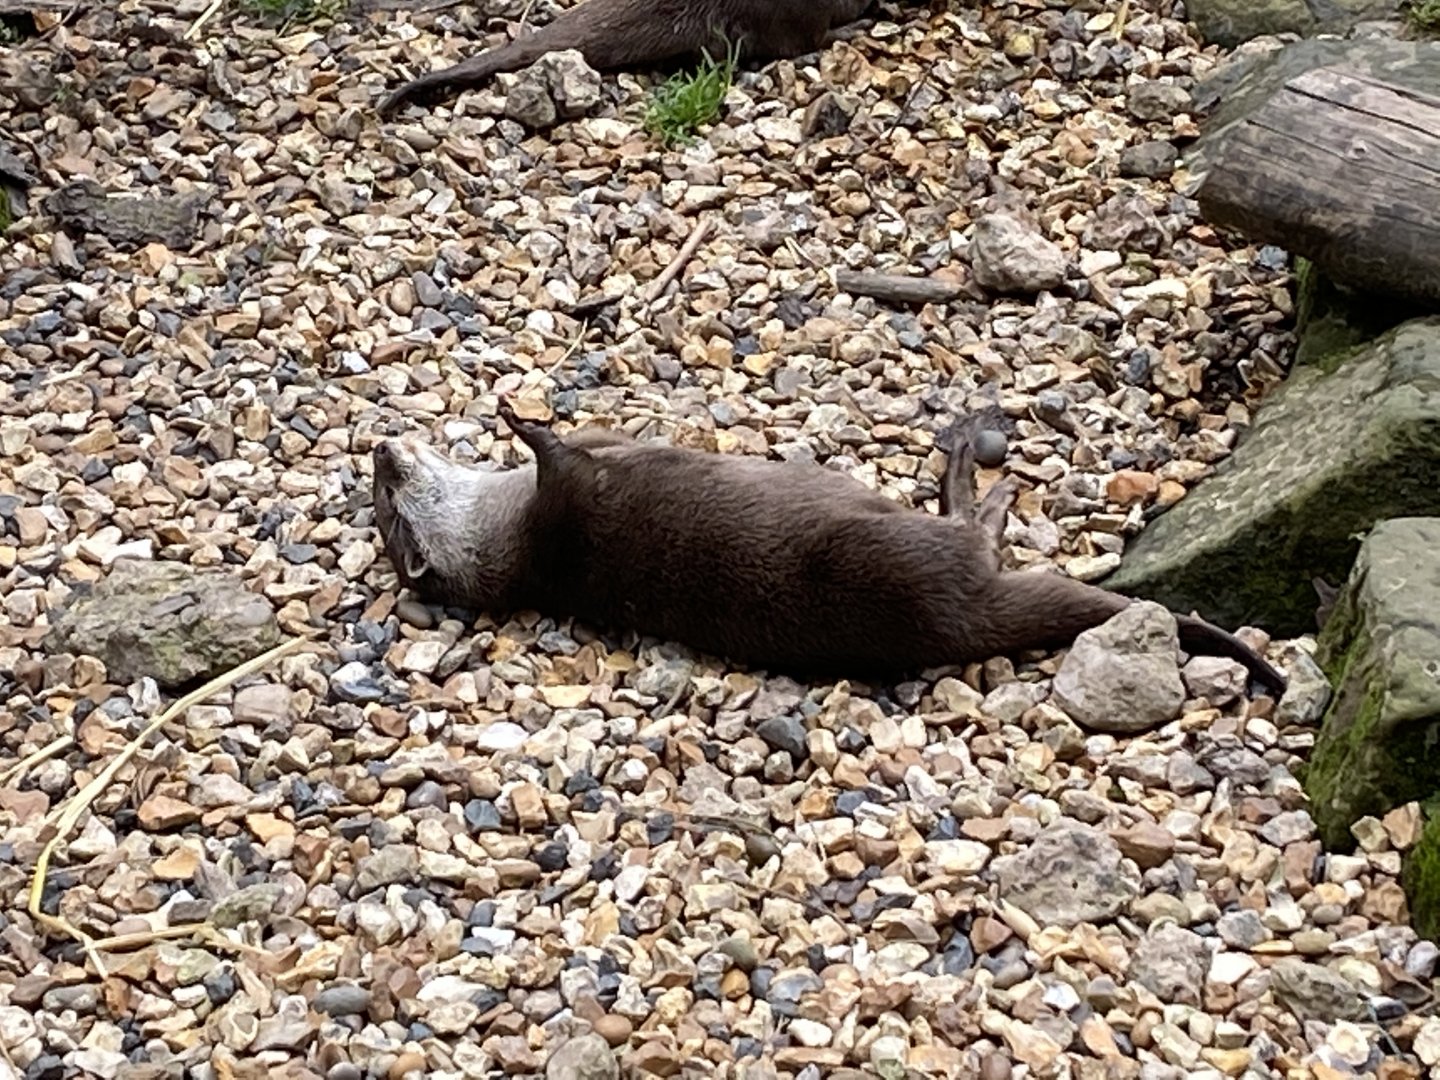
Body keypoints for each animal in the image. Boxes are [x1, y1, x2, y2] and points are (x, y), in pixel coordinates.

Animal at [371, 404, 1287, 695]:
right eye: (391, 505)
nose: (379, 451)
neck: (512, 520)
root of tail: (958, 623)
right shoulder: (563, 507)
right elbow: (558, 456)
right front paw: (519, 418)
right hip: (911, 554)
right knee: (976, 539)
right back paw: (978, 482)